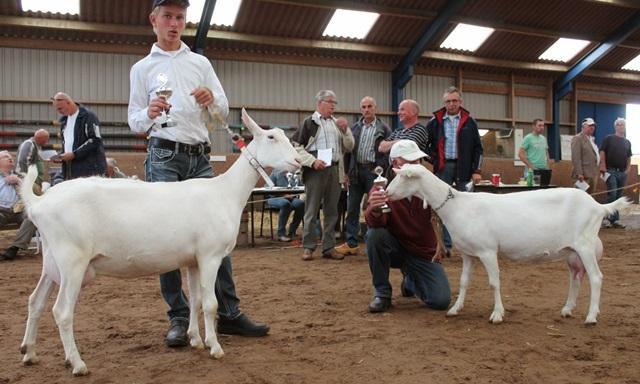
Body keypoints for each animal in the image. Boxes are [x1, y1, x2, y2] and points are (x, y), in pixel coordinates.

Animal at [18, 108, 302, 376]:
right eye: (271, 137)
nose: (299, 160)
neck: (225, 192)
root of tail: (39, 202)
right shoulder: (210, 255)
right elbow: (210, 303)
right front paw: (215, 347)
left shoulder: (193, 260)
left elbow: (196, 300)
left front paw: (196, 340)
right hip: (72, 260)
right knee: (62, 312)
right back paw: (77, 363)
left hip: (52, 261)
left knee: (35, 301)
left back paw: (29, 352)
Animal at [384, 164, 632, 326]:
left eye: (404, 177)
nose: (385, 192)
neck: (458, 206)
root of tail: (599, 206)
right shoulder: (468, 253)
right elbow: (463, 282)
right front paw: (455, 309)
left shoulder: (487, 251)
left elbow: (494, 283)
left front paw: (497, 314)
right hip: (572, 252)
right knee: (576, 277)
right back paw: (567, 309)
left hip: (586, 245)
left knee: (596, 278)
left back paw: (591, 317)